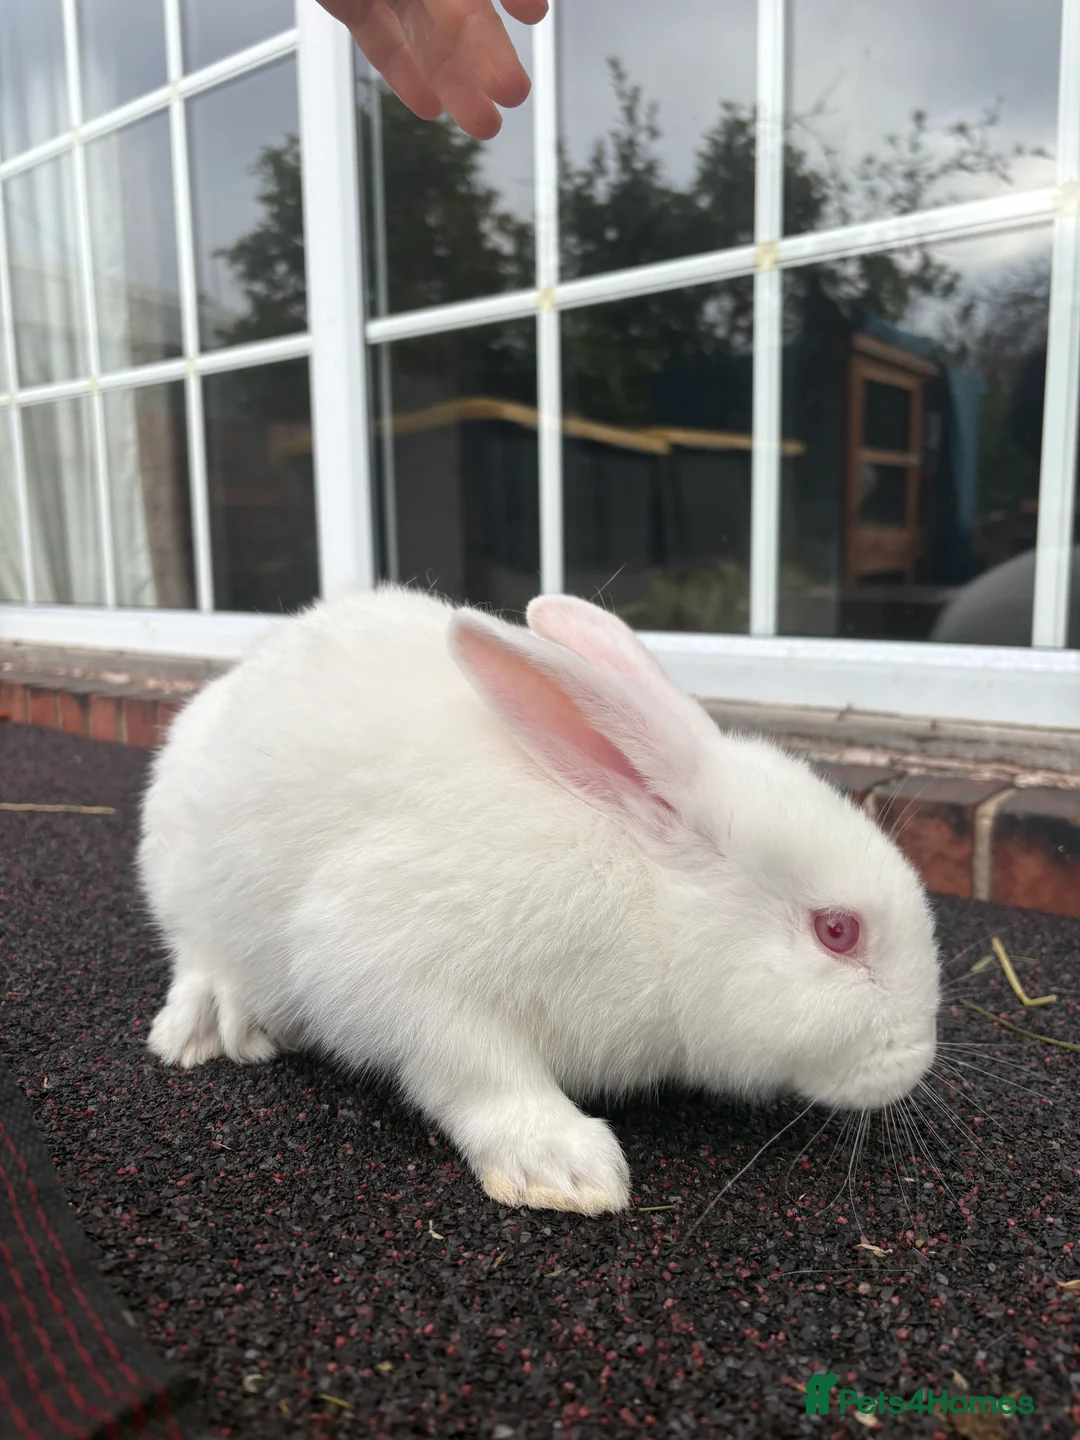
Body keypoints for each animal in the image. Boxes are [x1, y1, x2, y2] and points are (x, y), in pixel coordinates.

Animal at [139, 585, 940, 1216]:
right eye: (838, 931)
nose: (916, 1060)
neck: (654, 901)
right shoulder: (394, 966)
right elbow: (479, 1069)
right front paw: (565, 1167)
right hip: (182, 876)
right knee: (196, 950)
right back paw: (207, 1026)